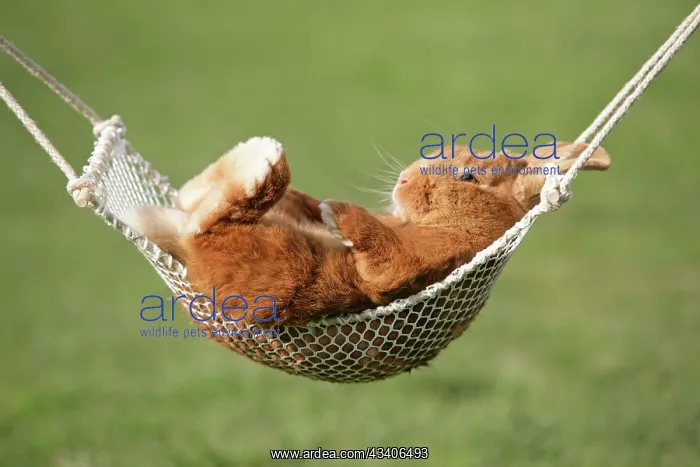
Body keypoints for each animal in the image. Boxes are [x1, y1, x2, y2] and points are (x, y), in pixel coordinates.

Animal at [125, 137, 610, 327]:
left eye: (468, 176)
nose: (404, 179)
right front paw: (321, 207)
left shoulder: (420, 262)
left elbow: (384, 256)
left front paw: (337, 213)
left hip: (273, 257)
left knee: (213, 218)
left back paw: (260, 160)